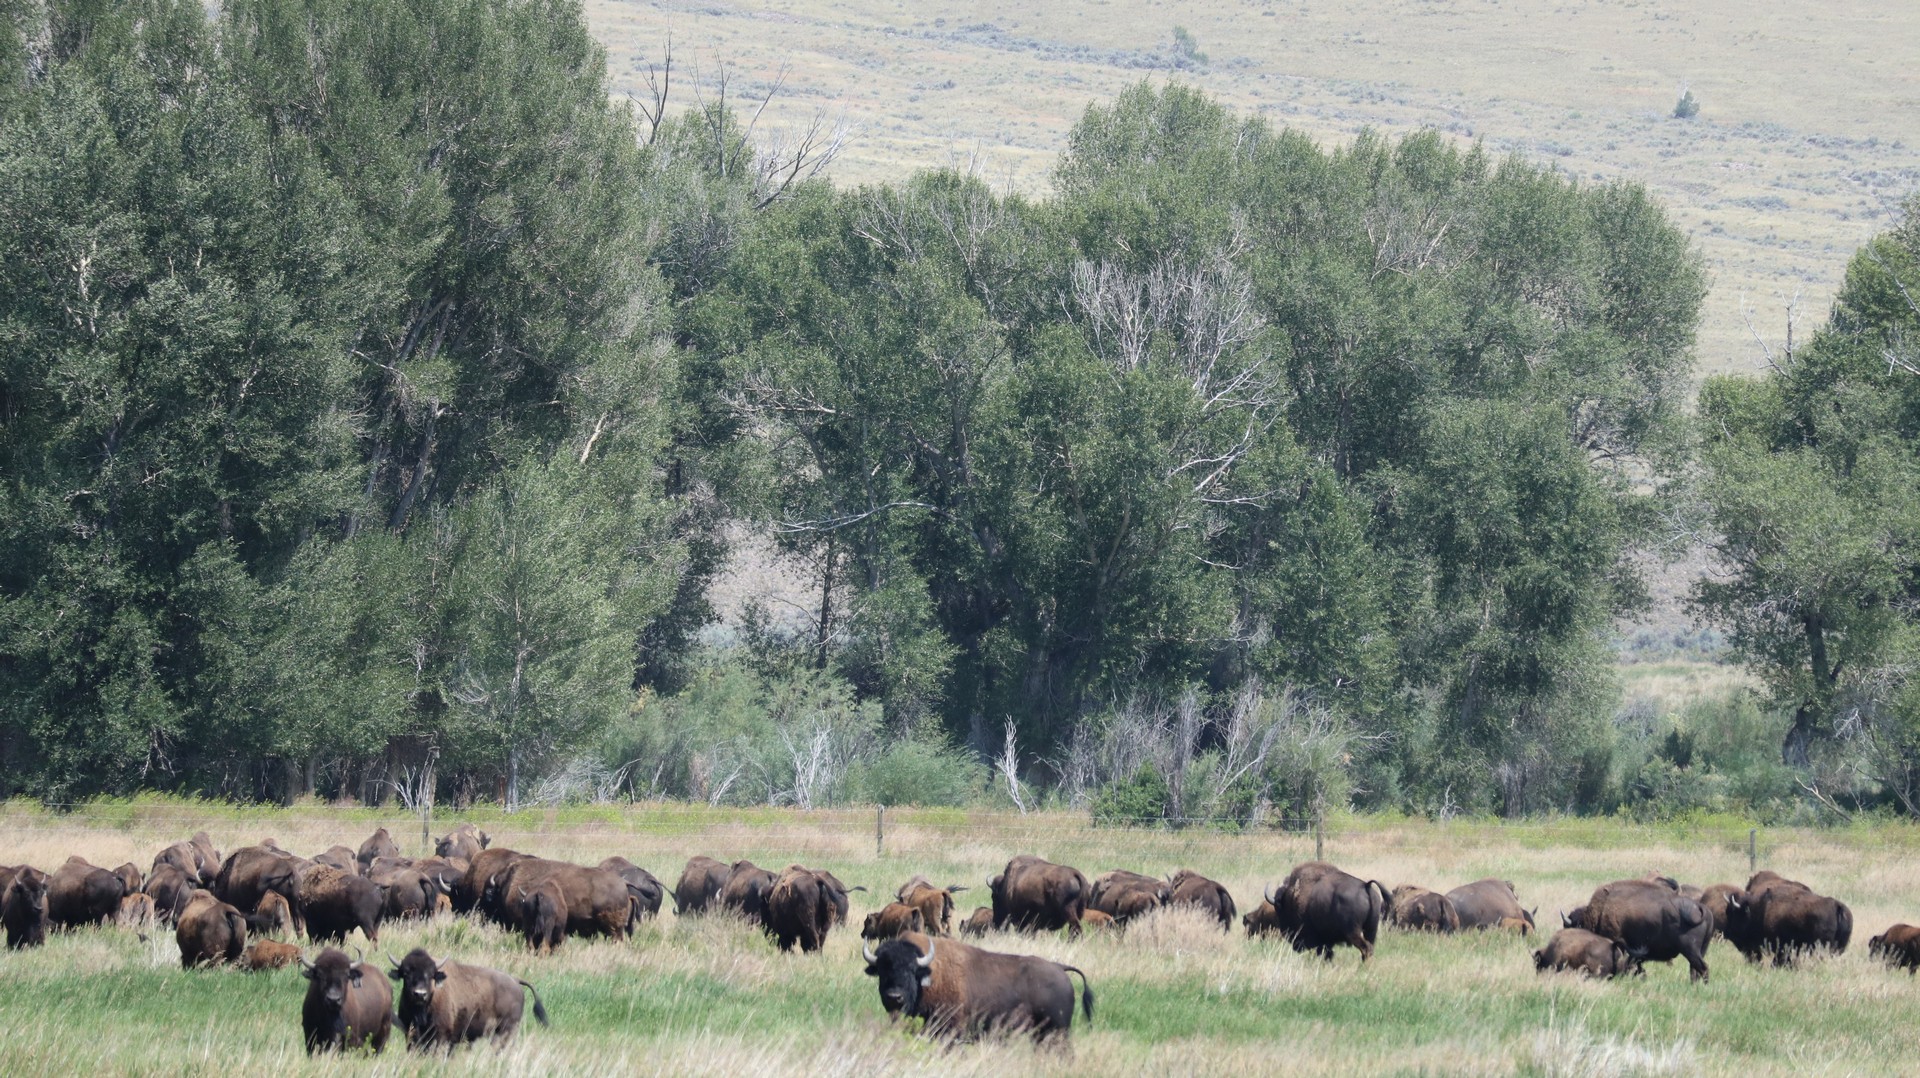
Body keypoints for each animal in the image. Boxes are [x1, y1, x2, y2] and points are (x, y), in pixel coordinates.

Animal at [388, 948, 548, 1052]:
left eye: (431, 974)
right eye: (406, 974)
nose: (420, 994)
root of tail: (515, 981)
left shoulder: (441, 1035)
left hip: (506, 1030)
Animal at [863, 933, 1092, 1043]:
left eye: (911, 970)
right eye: (882, 970)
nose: (894, 997)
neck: (929, 975)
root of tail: (1059, 968)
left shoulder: (951, 1029)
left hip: (1057, 1031)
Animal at [1569, 879, 1711, 981]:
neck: (1602, 910)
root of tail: (1700, 907)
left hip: (1691, 950)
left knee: (1702, 968)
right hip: (1700, 951)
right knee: (1695, 969)